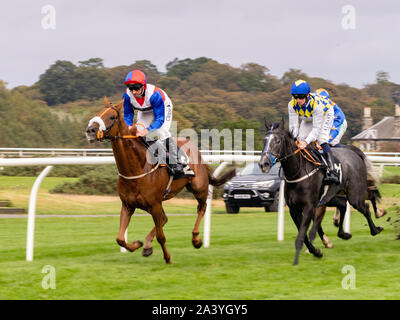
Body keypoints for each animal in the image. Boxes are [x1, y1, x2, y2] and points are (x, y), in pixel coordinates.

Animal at [84, 97, 234, 262]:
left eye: (112, 117)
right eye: (98, 112)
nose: (90, 131)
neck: (137, 167)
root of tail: (196, 148)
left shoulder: (154, 204)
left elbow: (161, 236)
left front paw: (167, 258)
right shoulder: (128, 205)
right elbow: (120, 239)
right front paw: (137, 244)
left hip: (198, 188)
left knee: (201, 208)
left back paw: (196, 239)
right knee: (164, 219)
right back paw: (147, 245)